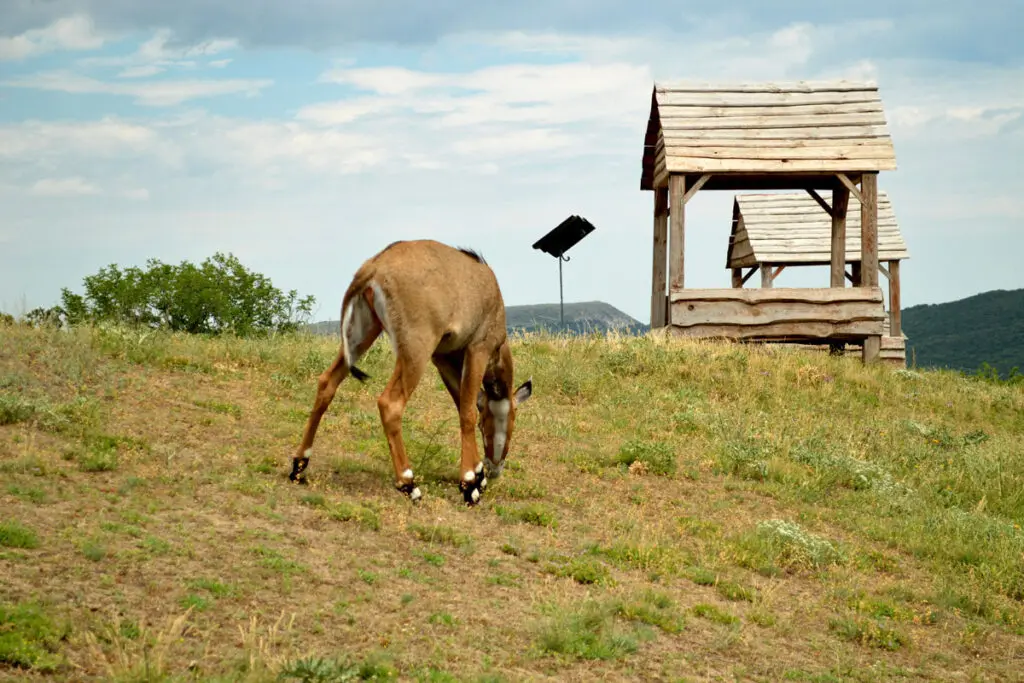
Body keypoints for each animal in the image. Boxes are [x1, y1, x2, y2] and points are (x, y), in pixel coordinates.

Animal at [290, 239, 533, 505]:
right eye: (512, 420)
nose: (495, 468)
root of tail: (373, 268)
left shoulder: (442, 357)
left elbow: (461, 404)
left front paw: (477, 476)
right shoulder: (478, 348)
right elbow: (467, 411)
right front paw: (470, 483)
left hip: (363, 335)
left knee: (327, 382)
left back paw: (299, 465)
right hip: (416, 350)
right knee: (390, 403)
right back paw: (409, 483)